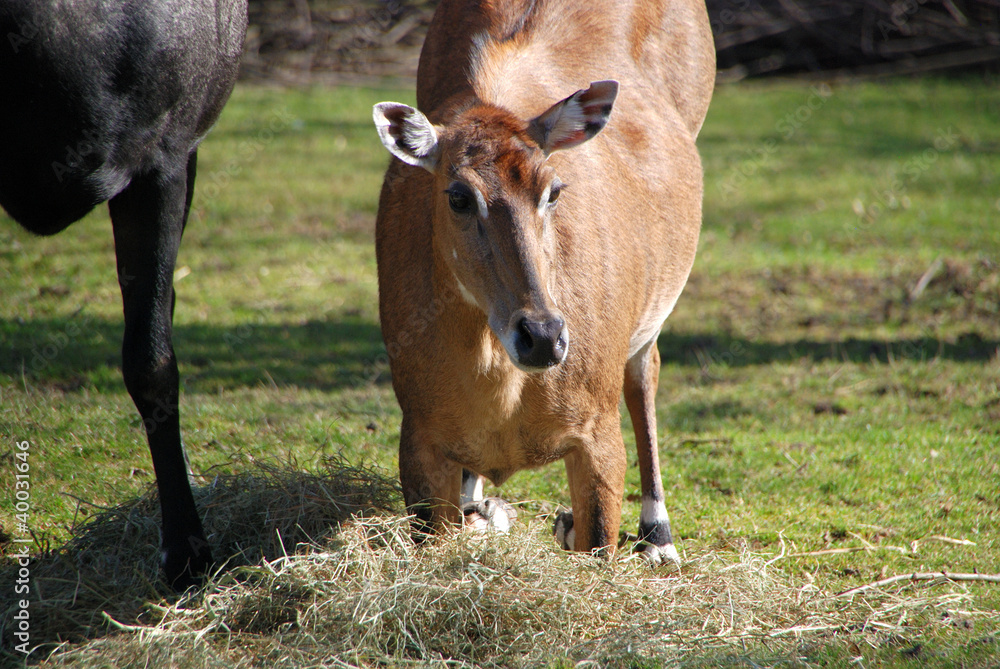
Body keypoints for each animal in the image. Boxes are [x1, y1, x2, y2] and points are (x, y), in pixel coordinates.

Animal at [374, 0, 712, 560]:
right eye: (458, 195)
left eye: (553, 189)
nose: (542, 337)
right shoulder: (419, 437)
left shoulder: (597, 435)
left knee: (645, 371)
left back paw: (656, 535)